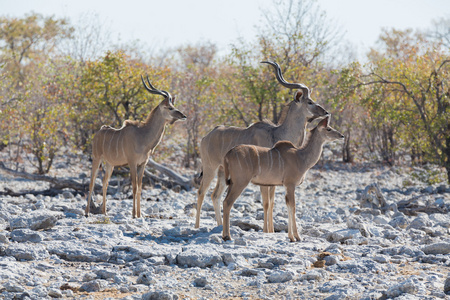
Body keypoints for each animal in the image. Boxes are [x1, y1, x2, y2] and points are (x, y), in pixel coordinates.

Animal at [86, 76, 186, 218]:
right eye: (170, 107)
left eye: (173, 105)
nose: (183, 116)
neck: (143, 136)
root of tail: (99, 131)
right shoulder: (132, 163)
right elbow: (134, 187)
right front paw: (134, 214)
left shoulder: (142, 164)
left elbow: (139, 188)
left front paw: (139, 214)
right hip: (96, 158)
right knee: (92, 182)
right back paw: (87, 212)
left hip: (110, 164)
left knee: (105, 183)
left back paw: (104, 212)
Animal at [195, 59, 328, 231]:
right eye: (310, 102)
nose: (325, 112)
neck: (277, 134)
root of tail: (206, 137)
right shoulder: (265, 179)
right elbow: (265, 203)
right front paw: (267, 231)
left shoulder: (273, 180)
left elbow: (271, 203)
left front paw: (270, 230)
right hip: (210, 168)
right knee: (201, 192)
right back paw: (197, 226)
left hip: (222, 172)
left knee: (215, 195)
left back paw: (219, 225)